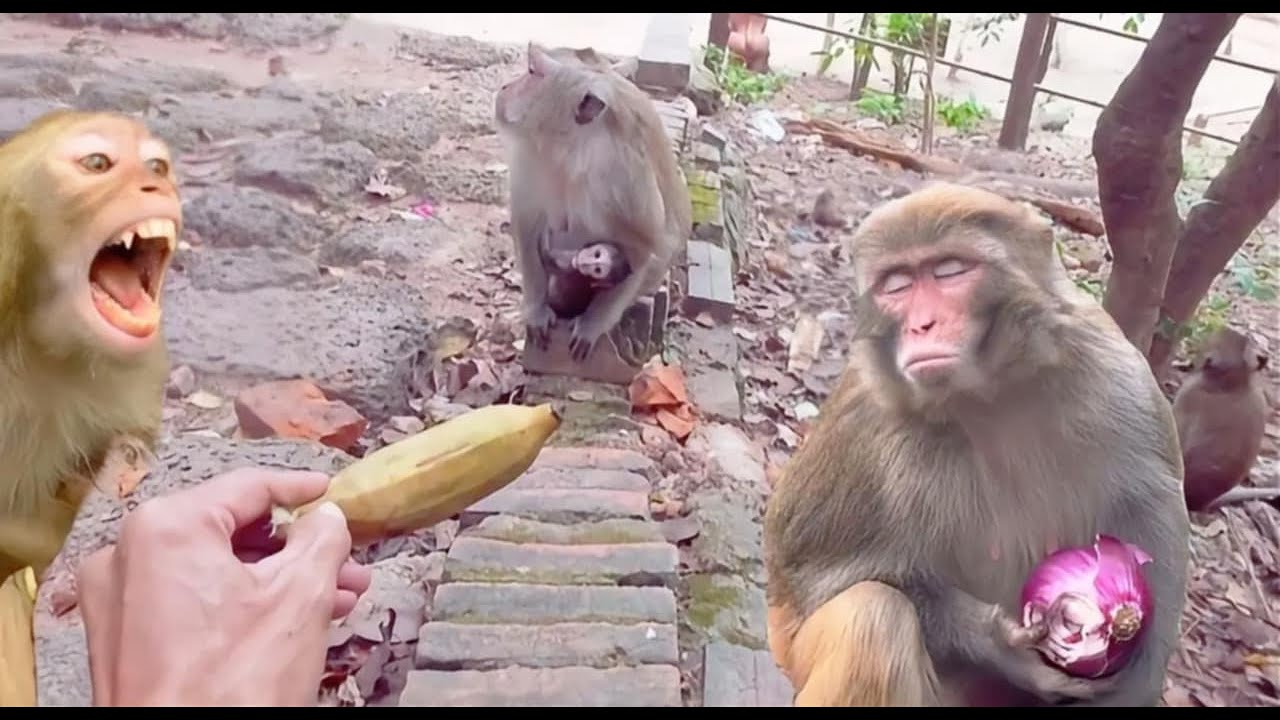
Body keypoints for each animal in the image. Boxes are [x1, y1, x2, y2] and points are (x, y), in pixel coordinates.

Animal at [495, 41, 691, 363]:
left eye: (532, 71)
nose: (505, 86)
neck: (573, 147)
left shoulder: (626, 181)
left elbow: (646, 246)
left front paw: (592, 325)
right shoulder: (530, 154)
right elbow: (527, 221)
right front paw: (536, 310)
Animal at [762, 183, 1190, 707]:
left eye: (950, 271)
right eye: (896, 285)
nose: (922, 325)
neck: (989, 394)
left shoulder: (1115, 370)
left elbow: (1154, 506)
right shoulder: (864, 421)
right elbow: (803, 576)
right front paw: (998, 644)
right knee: (873, 619)